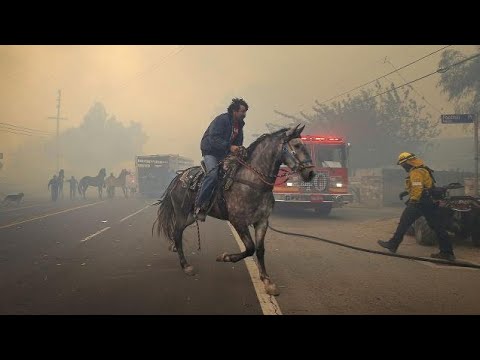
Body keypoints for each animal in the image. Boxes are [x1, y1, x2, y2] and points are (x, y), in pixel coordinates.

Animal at [155, 126, 316, 296]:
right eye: (297, 145)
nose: (311, 173)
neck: (251, 182)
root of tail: (179, 177)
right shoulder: (238, 221)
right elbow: (250, 248)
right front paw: (225, 257)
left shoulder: (262, 221)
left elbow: (260, 249)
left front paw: (267, 281)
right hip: (181, 212)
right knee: (177, 233)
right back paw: (186, 265)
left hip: (190, 216)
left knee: (177, 231)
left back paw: (174, 248)